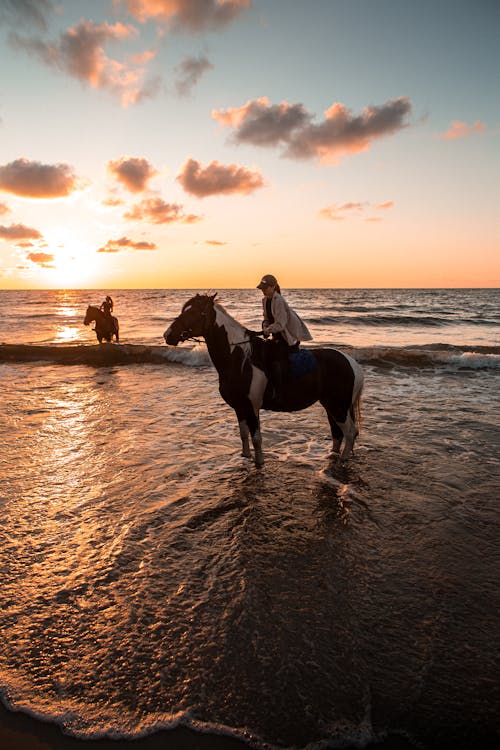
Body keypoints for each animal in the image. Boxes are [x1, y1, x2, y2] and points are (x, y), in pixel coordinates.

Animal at [164, 296, 364, 468]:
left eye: (194, 312)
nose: (167, 335)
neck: (239, 358)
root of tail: (352, 363)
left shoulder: (252, 406)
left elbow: (256, 437)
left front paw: (259, 462)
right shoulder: (240, 406)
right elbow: (243, 433)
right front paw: (245, 456)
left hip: (338, 406)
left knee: (349, 432)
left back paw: (343, 459)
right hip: (331, 405)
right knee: (337, 432)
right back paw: (333, 455)